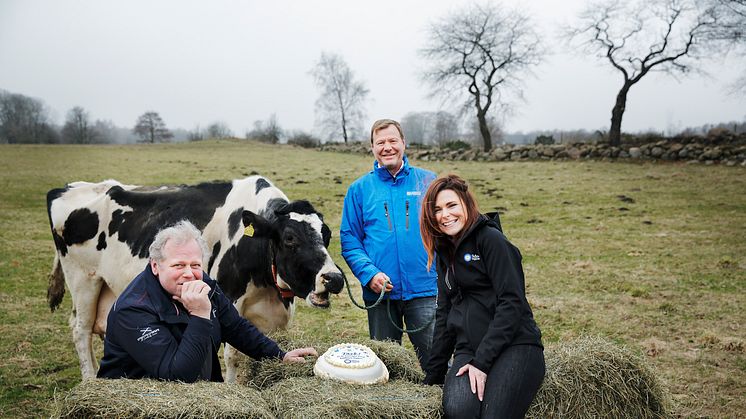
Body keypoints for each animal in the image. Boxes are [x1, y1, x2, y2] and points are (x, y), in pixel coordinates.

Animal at [48, 176, 344, 382]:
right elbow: (233, 355)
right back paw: (89, 380)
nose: (334, 278)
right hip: (84, 279)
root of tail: (67, 188)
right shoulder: (231, 298)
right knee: (81, 329)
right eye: (290, 238)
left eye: (327, 234)